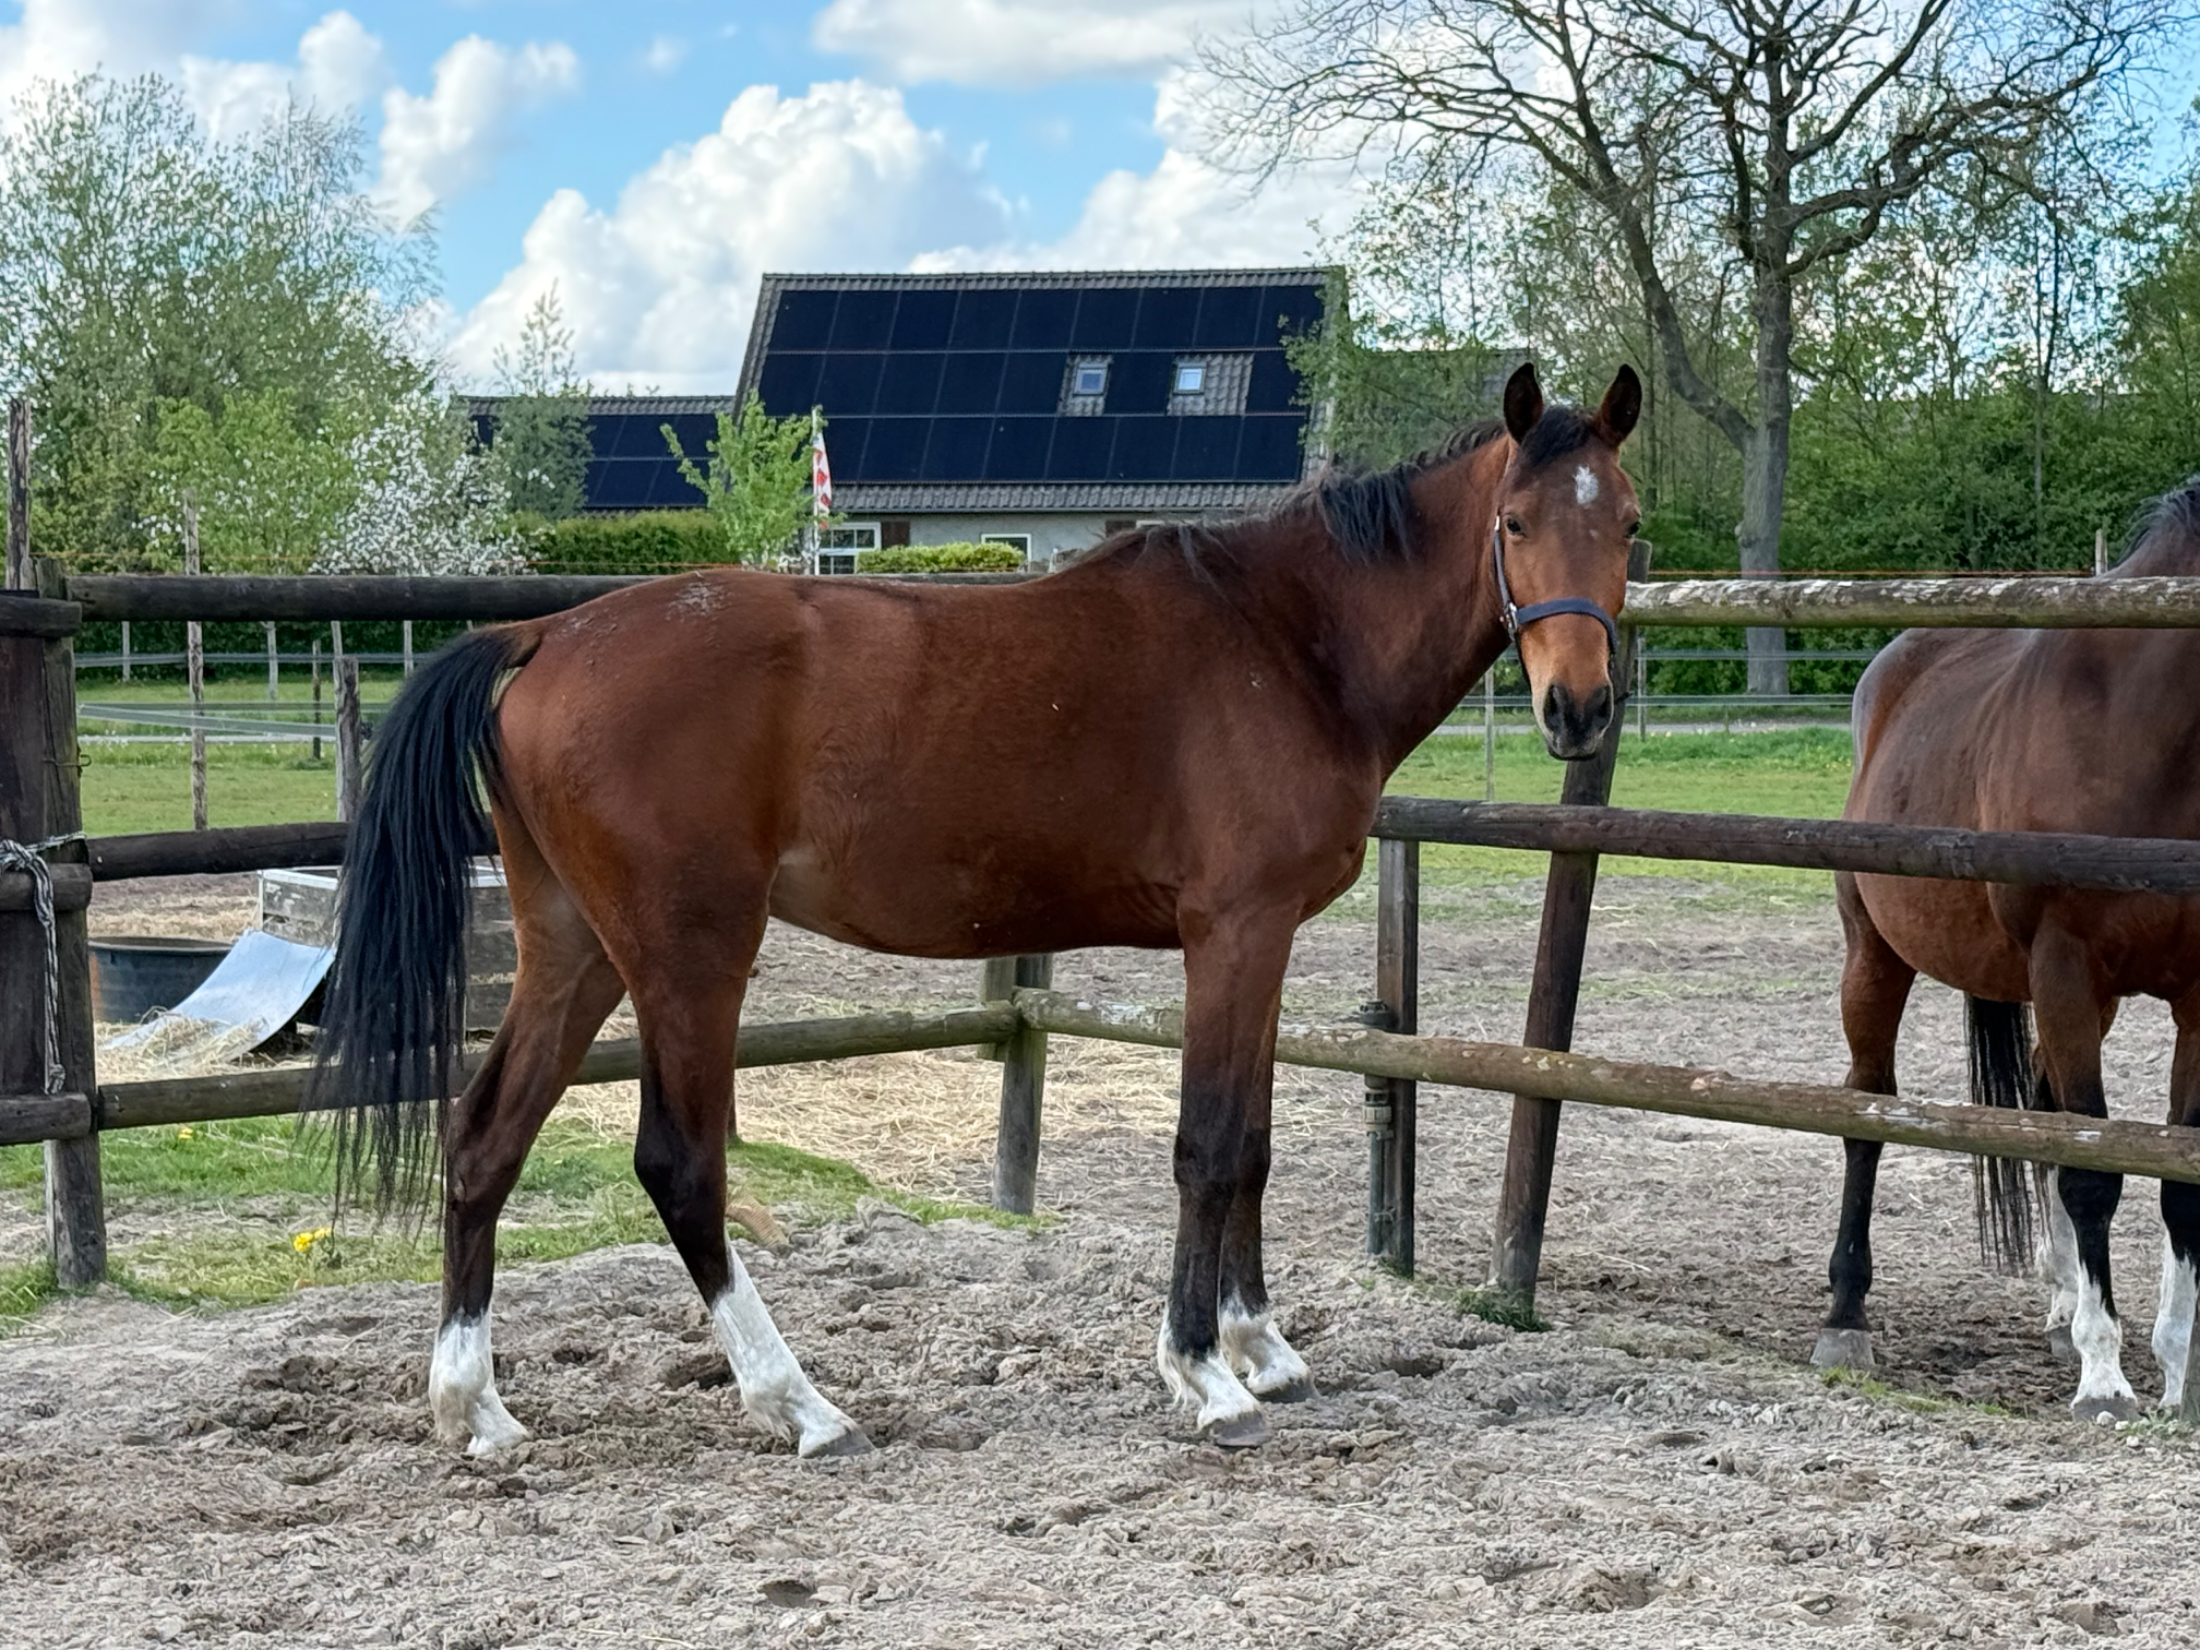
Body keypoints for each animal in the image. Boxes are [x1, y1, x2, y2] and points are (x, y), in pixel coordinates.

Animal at [311, 362, 1644, 1457]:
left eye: (1625, 524)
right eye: (1515, 523)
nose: (1578, 708)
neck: (1287, 639)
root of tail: (543, 634)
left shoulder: (1260, 947)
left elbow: (1255, 1144)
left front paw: (1262, 1347)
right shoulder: (1234, 933)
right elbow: (1208, 1146)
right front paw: (1204, 1374)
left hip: (576, 949)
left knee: (486, 1137)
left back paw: (476, 1410)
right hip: (689, 954)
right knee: (679, 1165)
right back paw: (801, 1405)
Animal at [1815, 478, 2200, 1421]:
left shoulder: (2198, 995)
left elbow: (2175, 1177)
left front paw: (2178, 1378)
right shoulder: (2062, 965)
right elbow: (2095, 1172)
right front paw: (2106, 1382)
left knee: (2041, 1107)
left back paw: (2064, 1309)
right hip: (1876, 959)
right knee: (1867, 1112)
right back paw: (1846, 1316)